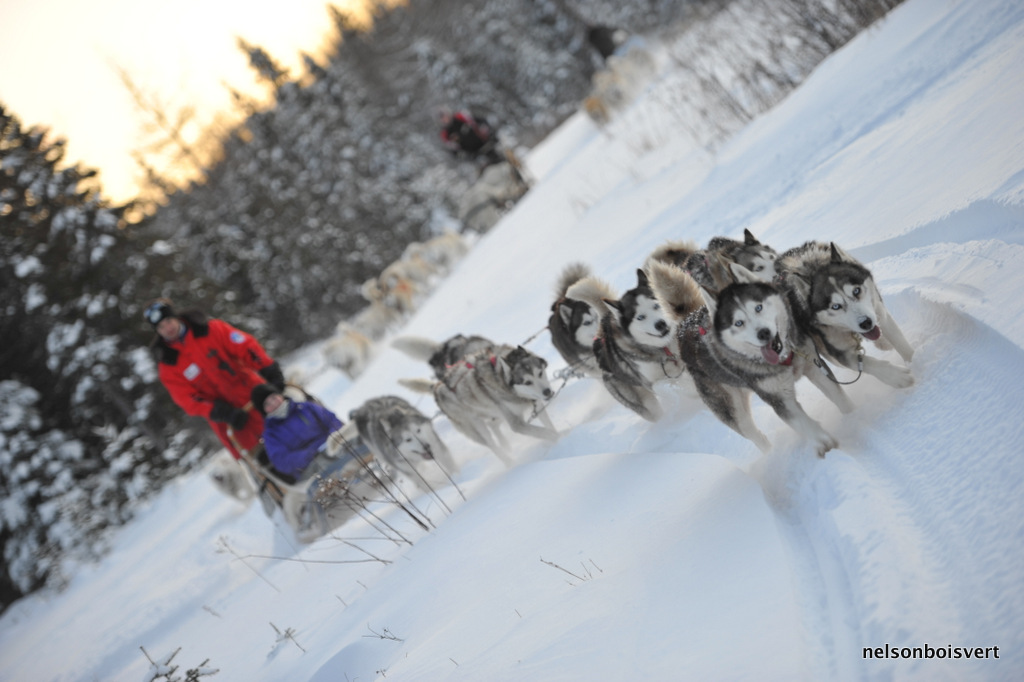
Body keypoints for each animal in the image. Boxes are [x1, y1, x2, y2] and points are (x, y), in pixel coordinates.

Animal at [399, 346, 561, 462]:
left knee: (493, 426)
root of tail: (437, 387)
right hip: (478, 428)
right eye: (527, 382)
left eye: (539, 373)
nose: (547, 392)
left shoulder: (537, 405)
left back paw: (506, 445)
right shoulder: (517, 424)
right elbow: (544, 432)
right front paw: (558, 438)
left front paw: (560, 436)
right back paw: (510, 462)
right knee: (492, 445)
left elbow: (549, 426)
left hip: (495, 415)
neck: (500, 378)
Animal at [569, 266, 696, 419]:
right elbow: (665, 385)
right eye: (640, 317)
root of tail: (604, 322)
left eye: (656, 305)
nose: (660, 324)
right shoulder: (651, 382)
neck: (663, 349)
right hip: (644, 403)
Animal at [647, 260, 856, 456]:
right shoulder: (779, 399)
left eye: (758, 307)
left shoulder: (814, 367)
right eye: (738, 323)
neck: (784, 359)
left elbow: (840, 399)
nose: (763, 333)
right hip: (732, 410)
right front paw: (826, 444)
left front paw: (853, 419)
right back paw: (770, 455)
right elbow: (804, 424)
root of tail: (686, 323)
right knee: (754, 434)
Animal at [778, 242, 917, 387]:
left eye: (856, 291)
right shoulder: (839, 351)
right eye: (835, 306)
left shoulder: (879, 312)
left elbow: (899, 341)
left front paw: (914, 359)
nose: (866, 323)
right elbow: (865, 363)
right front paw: (897, 376)